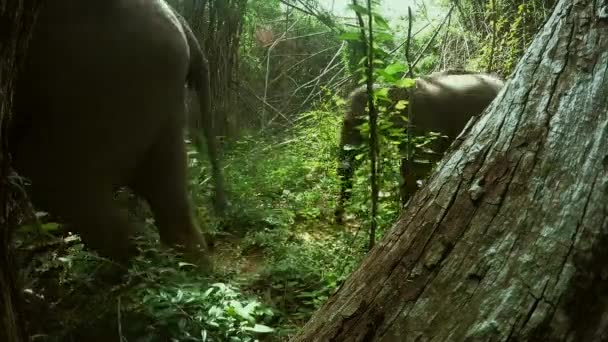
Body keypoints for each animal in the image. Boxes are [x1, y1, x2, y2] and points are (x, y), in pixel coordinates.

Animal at [334, 71, 506, 223]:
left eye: (353, 124)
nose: (339, 217)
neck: (393, 87)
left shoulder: (425, 124)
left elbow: (418, 166)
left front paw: (403, 212)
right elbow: (407, 167)